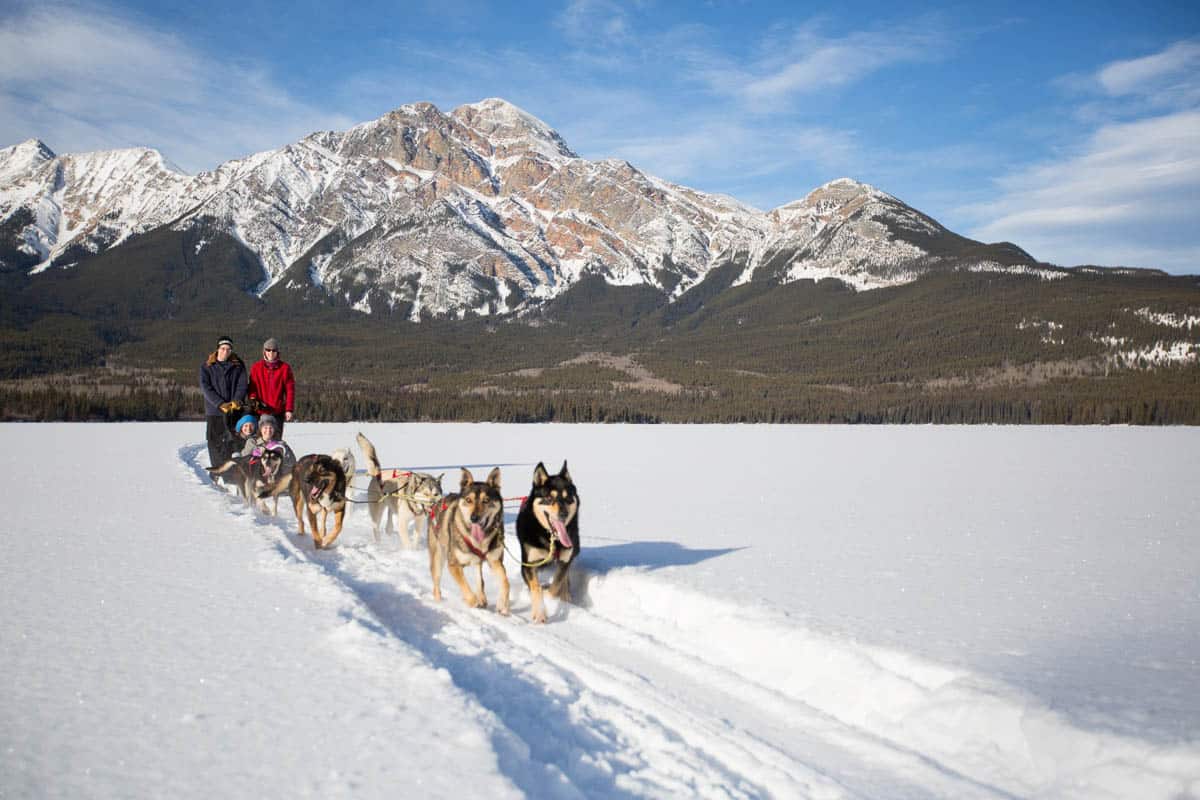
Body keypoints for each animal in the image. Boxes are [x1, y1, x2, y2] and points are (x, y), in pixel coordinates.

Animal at [429, 465, 508, 618]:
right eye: (468, 500)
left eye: (486, 500)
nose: (474, 518)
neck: (480, 542)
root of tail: (438, 501)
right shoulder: (453, 565)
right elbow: (465, 587)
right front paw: (472, 601)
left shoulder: (495, 561)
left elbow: (505, 582)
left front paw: (502, 605)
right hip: (438, 558)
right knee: (436, 584)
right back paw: (439, 601)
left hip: (477, 561)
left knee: (479, 579)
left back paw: (482, 597)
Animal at [513, 462, 578, 623]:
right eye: (549, 497)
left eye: (568, 498)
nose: (563, 514)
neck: (551, 539)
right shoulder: (528, 565)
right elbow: (536, 587)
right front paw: (540, 613)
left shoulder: (565, 559)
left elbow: (557, 584)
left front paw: (551, 599)